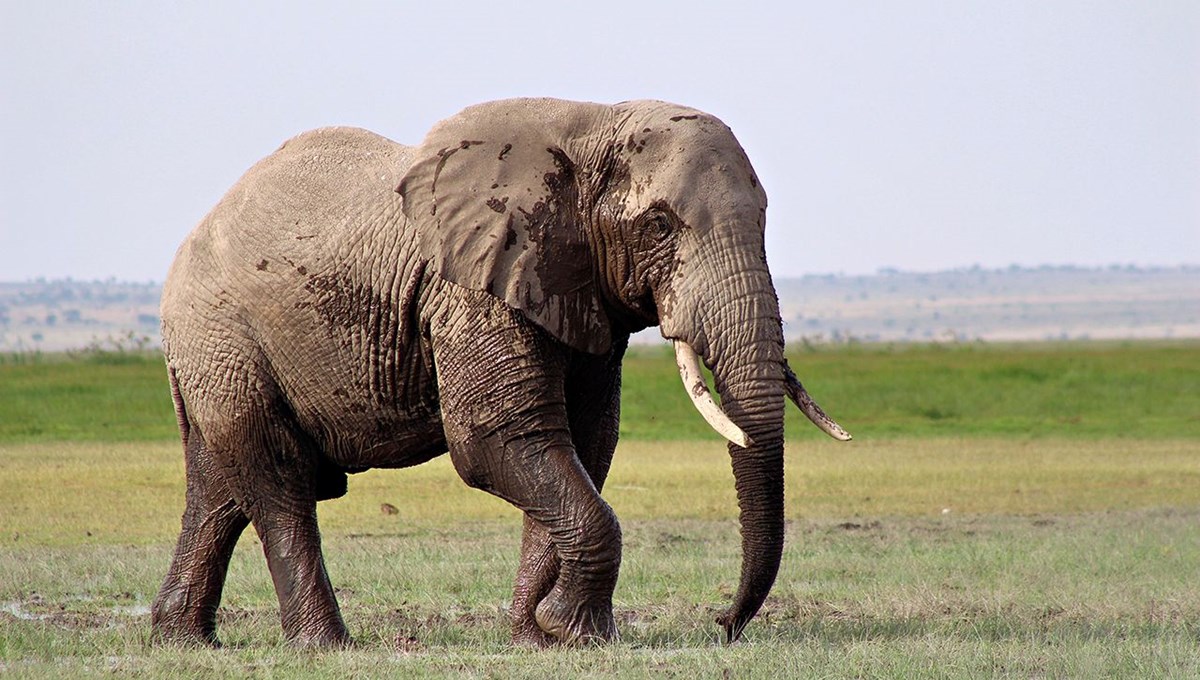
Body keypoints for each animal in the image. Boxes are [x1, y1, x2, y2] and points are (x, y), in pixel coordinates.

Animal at [150, 97, 849, 647]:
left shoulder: (574, 286)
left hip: (218, 353)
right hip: (224, 335)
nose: (722, 625)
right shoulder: (470, 285)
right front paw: (570, 629)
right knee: (278, 480)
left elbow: (582, 445)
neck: (592, 125)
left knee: (220, 489)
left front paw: (541, 637)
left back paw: (182, 641)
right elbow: (500, 440)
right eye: (658, 225)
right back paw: (325, 647)